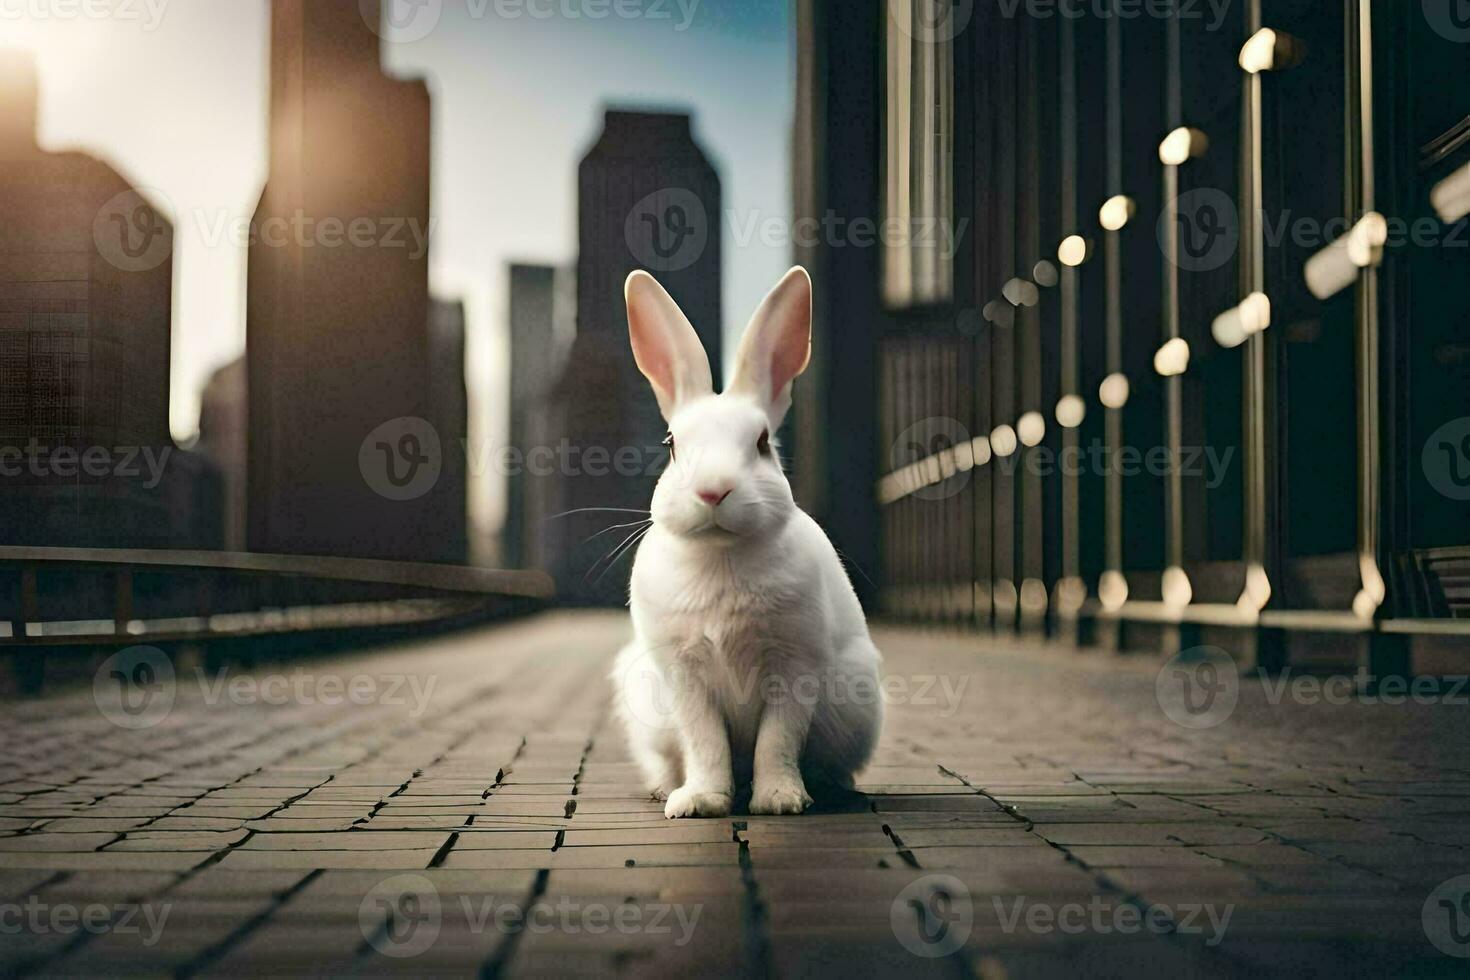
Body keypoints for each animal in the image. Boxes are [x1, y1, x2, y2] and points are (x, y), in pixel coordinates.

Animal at [611, 262, 882, 822]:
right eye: (671, 445)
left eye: (761, 444)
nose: (714, 490)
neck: (721, 555)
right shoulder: (683, 674)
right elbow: (705, 741)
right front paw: (700, 801)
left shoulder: (795, 666)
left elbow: (777, 741)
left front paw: (779, 800)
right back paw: (666, 789)